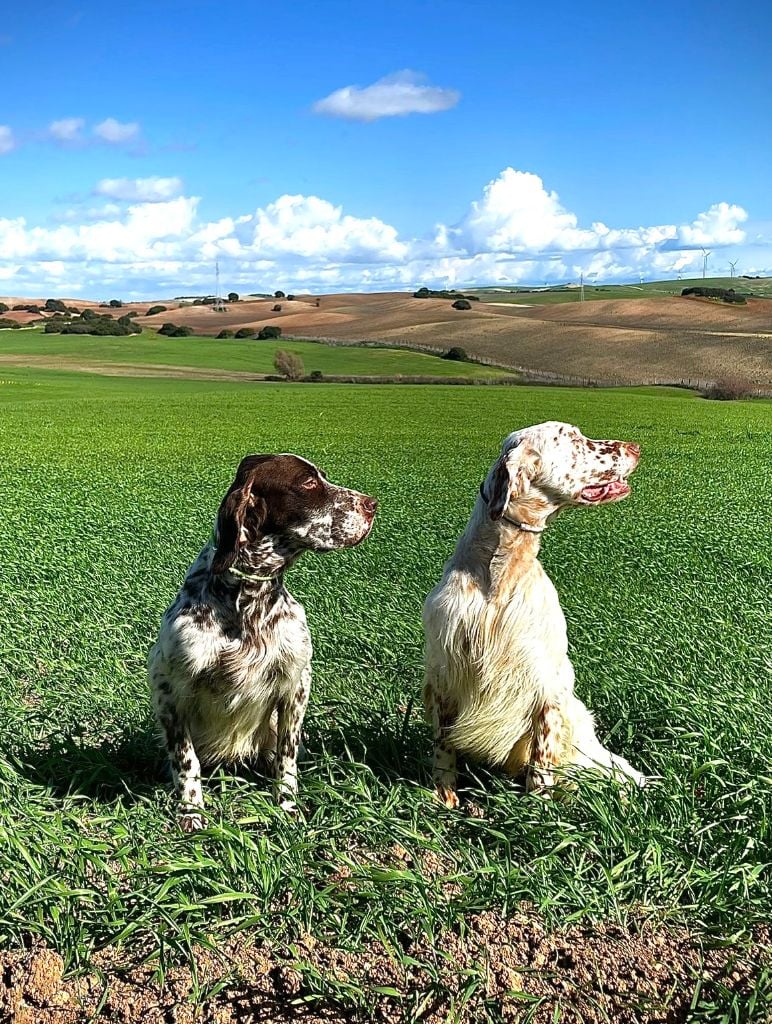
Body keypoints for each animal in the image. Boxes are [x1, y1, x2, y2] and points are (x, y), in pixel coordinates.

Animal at [148, 456, 376, 831]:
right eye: (308, 483)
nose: (372, 504)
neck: (247, 600)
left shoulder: (297, 683)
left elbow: (287, 754)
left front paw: (286, 805)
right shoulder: (168, 687)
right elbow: (186, 760)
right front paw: (191, 809)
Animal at [421, 419, 642, 802]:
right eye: (574, 439)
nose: (635, 448)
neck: (499, 575)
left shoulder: (546, 684)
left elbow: (542, 758)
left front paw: (538, 807)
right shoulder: (445, 671)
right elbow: (443, 745)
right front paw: (444, 797)